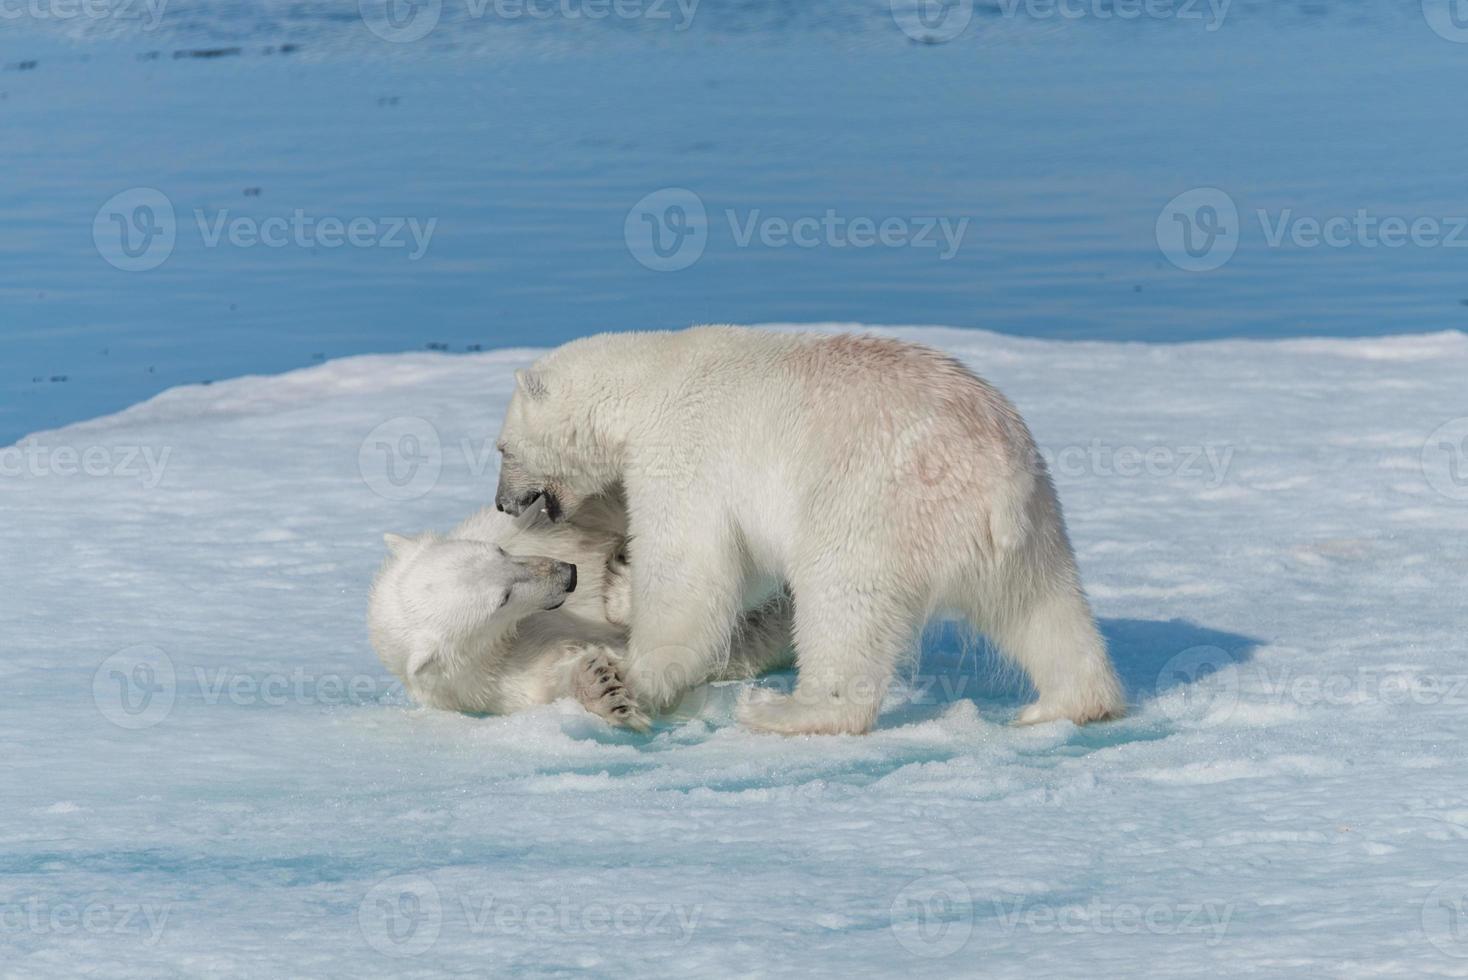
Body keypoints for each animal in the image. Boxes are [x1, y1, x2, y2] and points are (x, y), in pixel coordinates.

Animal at [372, 498, 798, 727]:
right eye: (503, 598)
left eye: (499, 553)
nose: (568, 575)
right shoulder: (494, 680)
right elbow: (560, 673)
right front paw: (604, 688)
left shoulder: (534, 531)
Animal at [493, 327, 1121, 733]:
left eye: (501, 448)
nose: (502, 503)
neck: (649, 380)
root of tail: (997, 477)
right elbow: (742, 567)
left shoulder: (685, 452)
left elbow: (694, 568)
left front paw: (627, 671)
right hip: (1033, 526)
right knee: (1045, 610)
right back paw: (1066, 705)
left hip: (876, 504)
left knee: (844, 602)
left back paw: (787, 711)